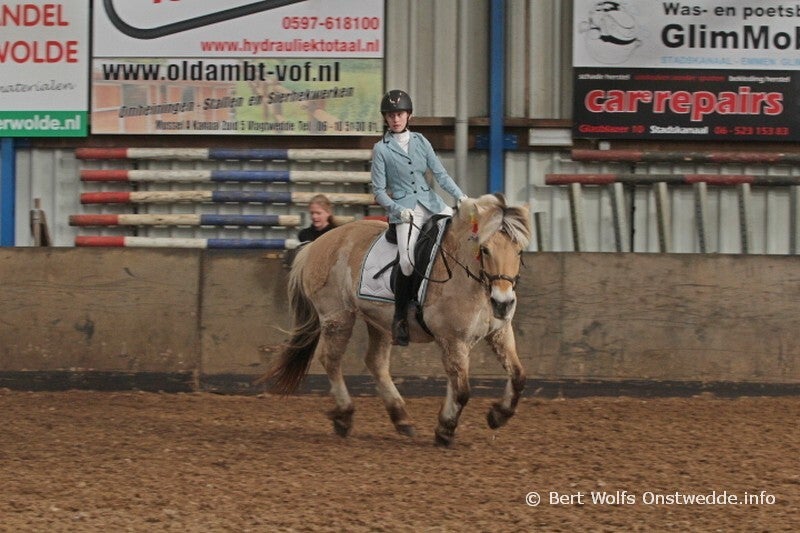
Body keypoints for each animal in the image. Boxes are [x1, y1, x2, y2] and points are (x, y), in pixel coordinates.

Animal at [259, 193, 531, 446]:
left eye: (519, 251)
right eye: (485, 249)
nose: (503, 303)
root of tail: (315, 244)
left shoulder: (498, 333)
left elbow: (517, 376)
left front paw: (498, 415)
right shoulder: (453, 340)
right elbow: (462, 391)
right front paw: (445, 430)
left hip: (379, 321)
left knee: (375, 362)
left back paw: (401, 418)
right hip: (337, 317)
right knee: (331, 359)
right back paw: (345, 416)